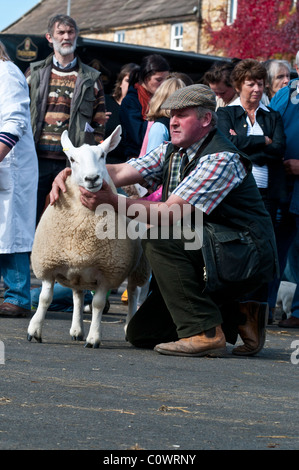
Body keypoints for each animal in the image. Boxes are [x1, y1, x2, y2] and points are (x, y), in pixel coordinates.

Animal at [27, 126, 150, 346]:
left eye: (103, 155)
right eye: (72, 159)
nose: (92, 179)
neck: (81, 228)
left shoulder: (107, 273)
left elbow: (98, 305)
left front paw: (94, 338)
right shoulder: (49, 266)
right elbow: (45, 298)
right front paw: (35, 330)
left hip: (138, 267)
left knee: (133, 293)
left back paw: (128, 327)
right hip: (78, 270)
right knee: (78, 295)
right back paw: (76, 330)